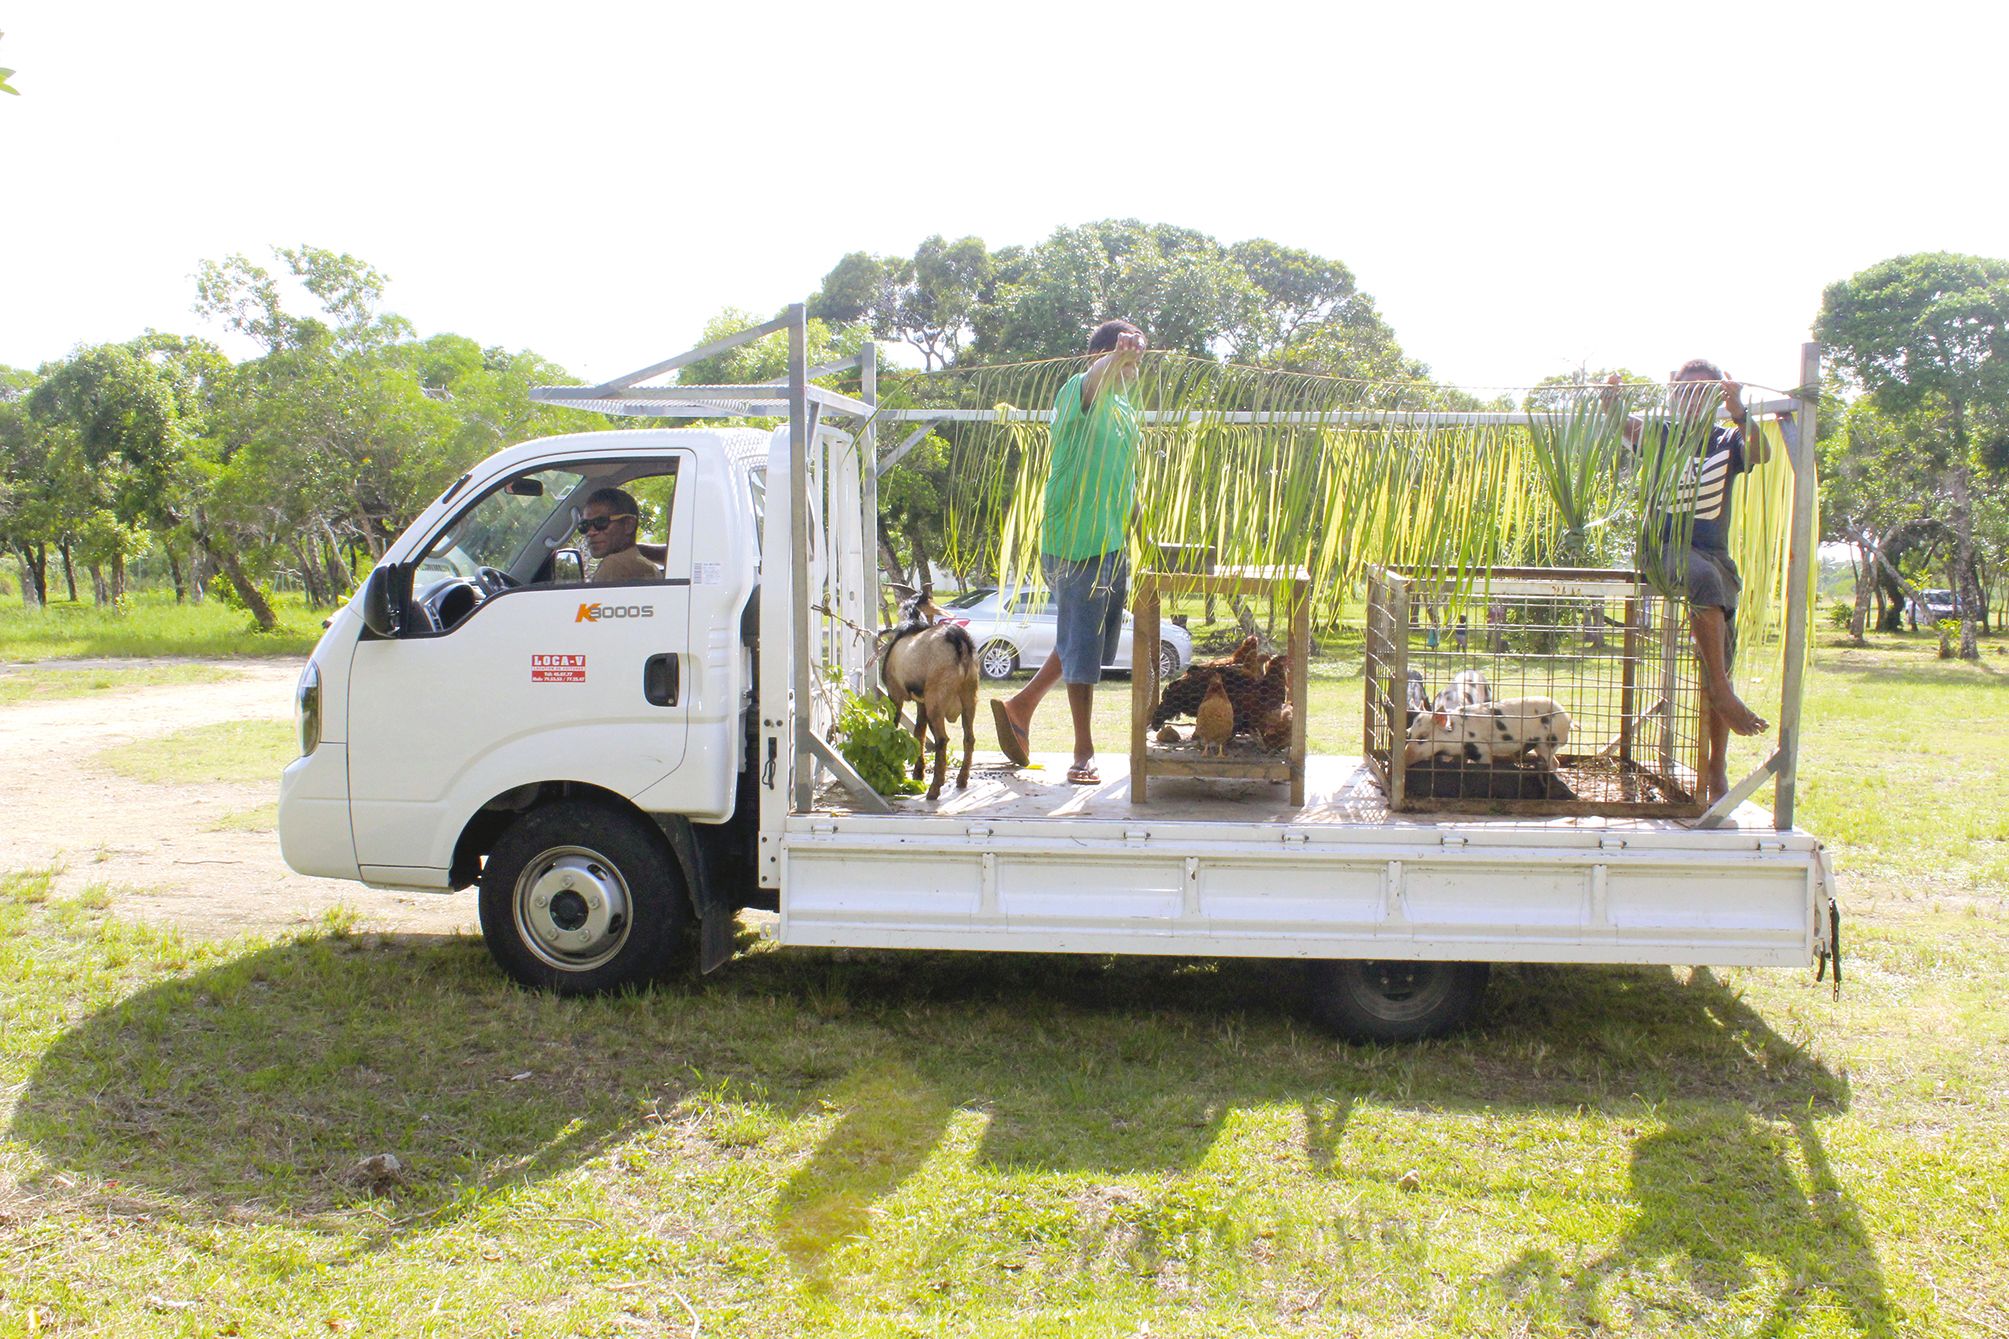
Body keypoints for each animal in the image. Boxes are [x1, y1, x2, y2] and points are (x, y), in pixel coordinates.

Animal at [879, 594, 980, 802]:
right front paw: (918, 773)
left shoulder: (895, 694)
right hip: (969, 694)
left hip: (936, 698)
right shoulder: (921, 702)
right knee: (969, 738)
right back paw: (961, 780)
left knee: (942, 740)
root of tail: (959, 642)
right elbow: (919, 732)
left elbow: (894, 726)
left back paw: (934, 789)